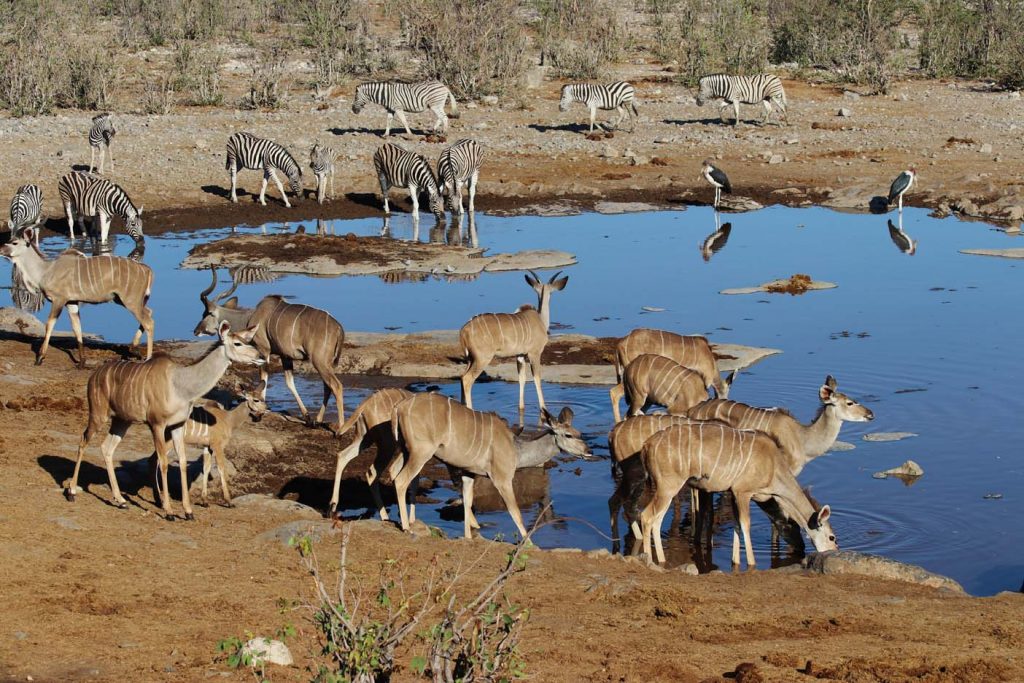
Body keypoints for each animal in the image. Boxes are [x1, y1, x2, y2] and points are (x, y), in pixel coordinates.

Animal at [0, 228, 153, 368]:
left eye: (14, 242)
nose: (0, 249)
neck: (46, 270)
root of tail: (147, 270)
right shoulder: (71, 303)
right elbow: (77, 328)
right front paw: (81, 362)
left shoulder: (59, 300)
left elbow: (49, 324)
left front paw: (40, 358)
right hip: (124, 300)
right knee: (149, 313)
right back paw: (134, 348)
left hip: (130, 301)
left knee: (148, 322)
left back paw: (148, 358)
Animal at [68, 323, 266, 520]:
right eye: (237, 343)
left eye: (247, 340)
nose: (261, 357)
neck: (181, 386)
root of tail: (94, 376)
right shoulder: (157, 424)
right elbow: (163, 461)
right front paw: (169, 511)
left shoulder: (177, 426)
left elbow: (183, 461)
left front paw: (188, 512)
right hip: (98, 414)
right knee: (83, 440)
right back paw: (71, 492)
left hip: (122, 421)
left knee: (106, 448)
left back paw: (121, 501)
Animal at [192, 270, 348, 430]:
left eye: (206, 314)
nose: (196, 331)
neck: (249, 318)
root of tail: (338, 328)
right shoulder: (285, 356)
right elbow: (289, 382)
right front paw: (307, 417)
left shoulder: (264, 350)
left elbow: (264, 378)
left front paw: (259, 413)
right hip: (324, 363)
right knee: (327, 386)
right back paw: (317, 420)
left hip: (319, 361)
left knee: (336, 386)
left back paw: (341, 428)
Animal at [462, 270, 573, 411]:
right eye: (552, 293)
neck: (540, 320)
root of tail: (464, 330)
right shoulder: (534, 354)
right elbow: (537, 378)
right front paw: (543, 407)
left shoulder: (520, 356)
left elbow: (522, 378)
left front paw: (521, 407)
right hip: (482, 358)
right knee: (467, 379)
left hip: (470, 359)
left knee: (461, 377)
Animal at [638, 421, 839, 565]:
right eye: (832, 537)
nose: (834, 551)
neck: (774, 466)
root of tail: (647, 445)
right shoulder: (743, 492)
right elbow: (745, 524)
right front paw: (751, 563)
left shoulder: (733, 493)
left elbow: (736, 524)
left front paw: (735, 560)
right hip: (668, 487)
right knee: (647, 516)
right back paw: (652, 559)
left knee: (655, 520)